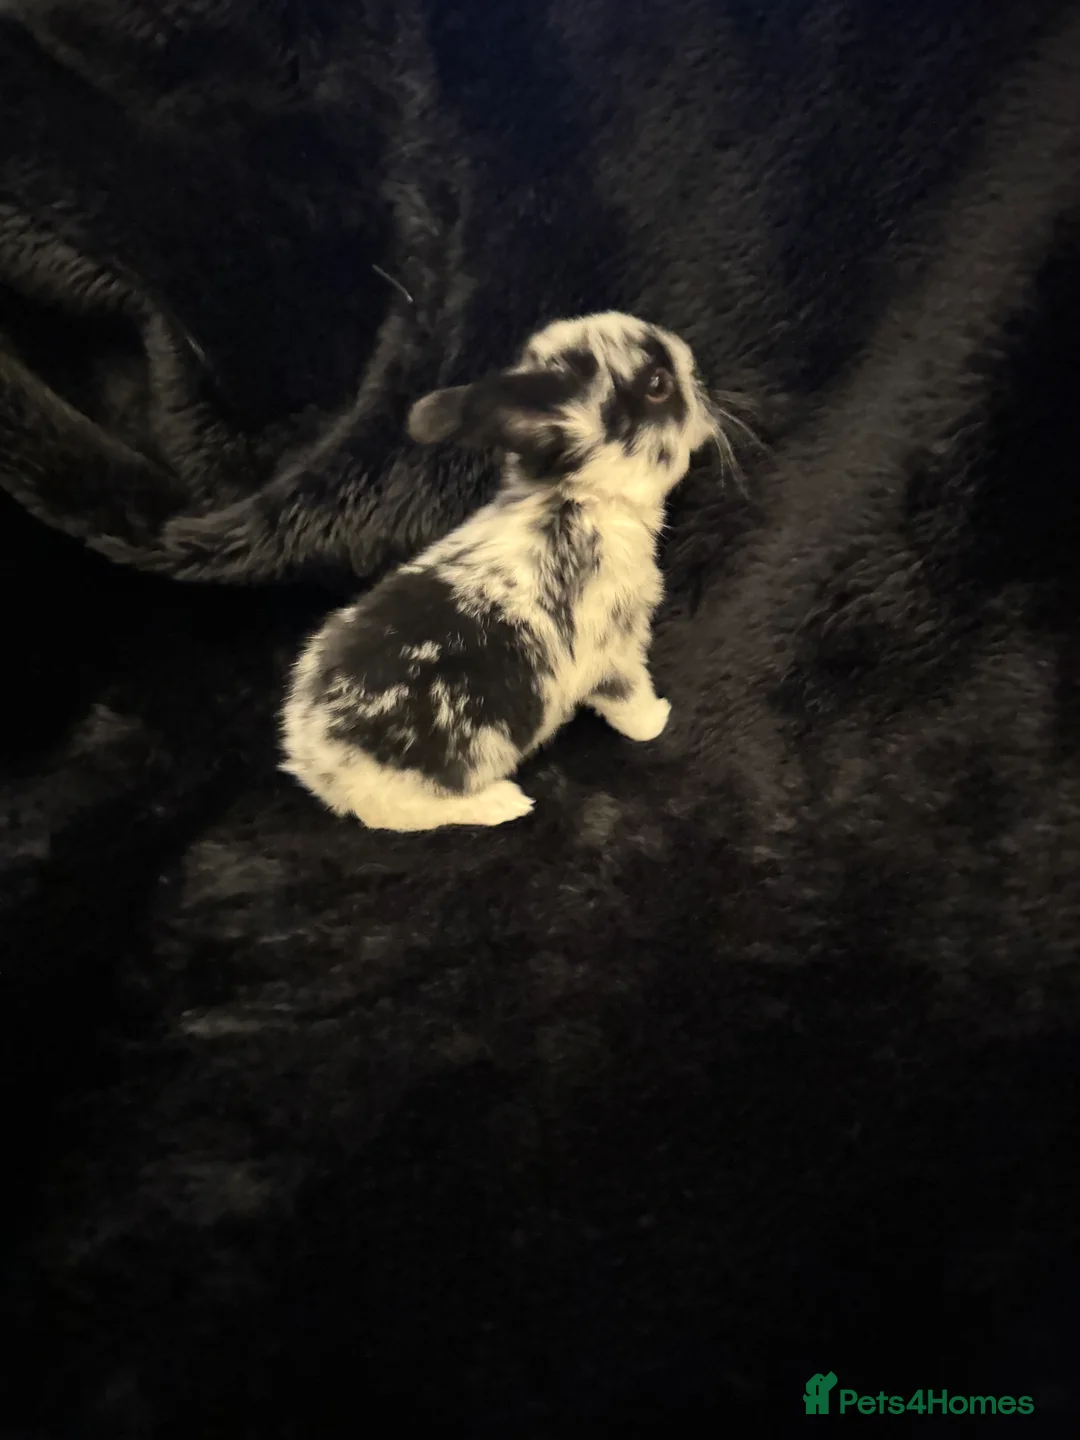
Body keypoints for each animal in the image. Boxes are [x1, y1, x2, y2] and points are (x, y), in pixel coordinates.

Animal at [280, 311, 722, 831]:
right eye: (657, 384)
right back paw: (506, 802)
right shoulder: (611, 648)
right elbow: (626, 696)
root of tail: (313, 759)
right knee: (402, 810)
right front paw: (657, 720)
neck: (576, 499)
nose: (700, 375)